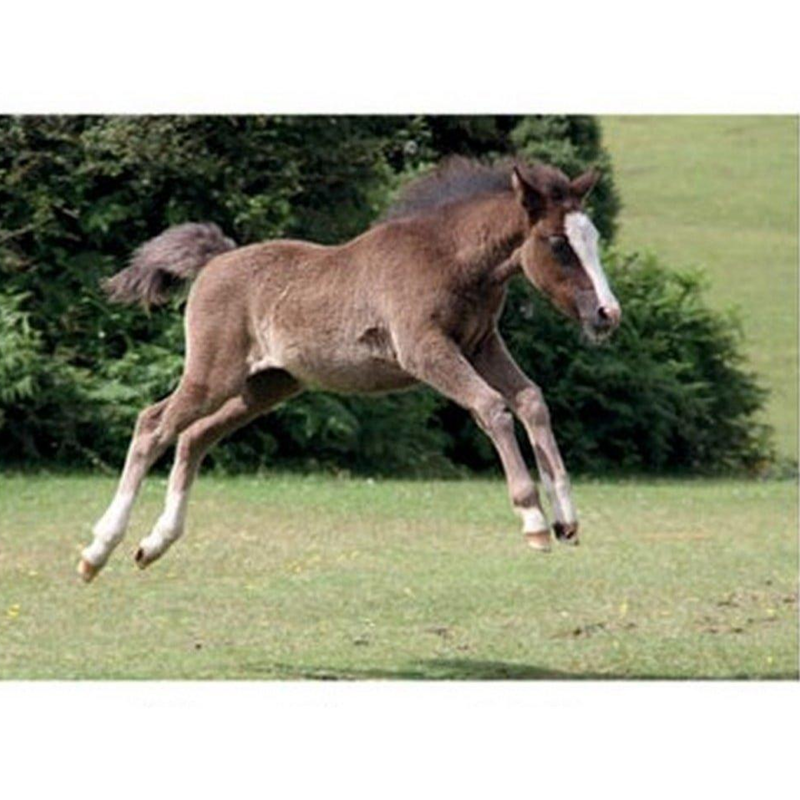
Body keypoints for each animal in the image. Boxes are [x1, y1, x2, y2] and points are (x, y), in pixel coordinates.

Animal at [77, 156, 621, 582]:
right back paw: (97, 550)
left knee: (193, 437)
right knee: (152, 425)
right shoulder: (424, 350)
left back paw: (153, 544)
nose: (607, 315)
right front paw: (533, 520)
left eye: (592, 239)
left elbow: (530, 400)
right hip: (213, 375)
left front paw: (567, 518)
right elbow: (492, 407)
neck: (449, 259)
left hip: (265, 386)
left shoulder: (482, 344)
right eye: (557, 244)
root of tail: (218, 260)